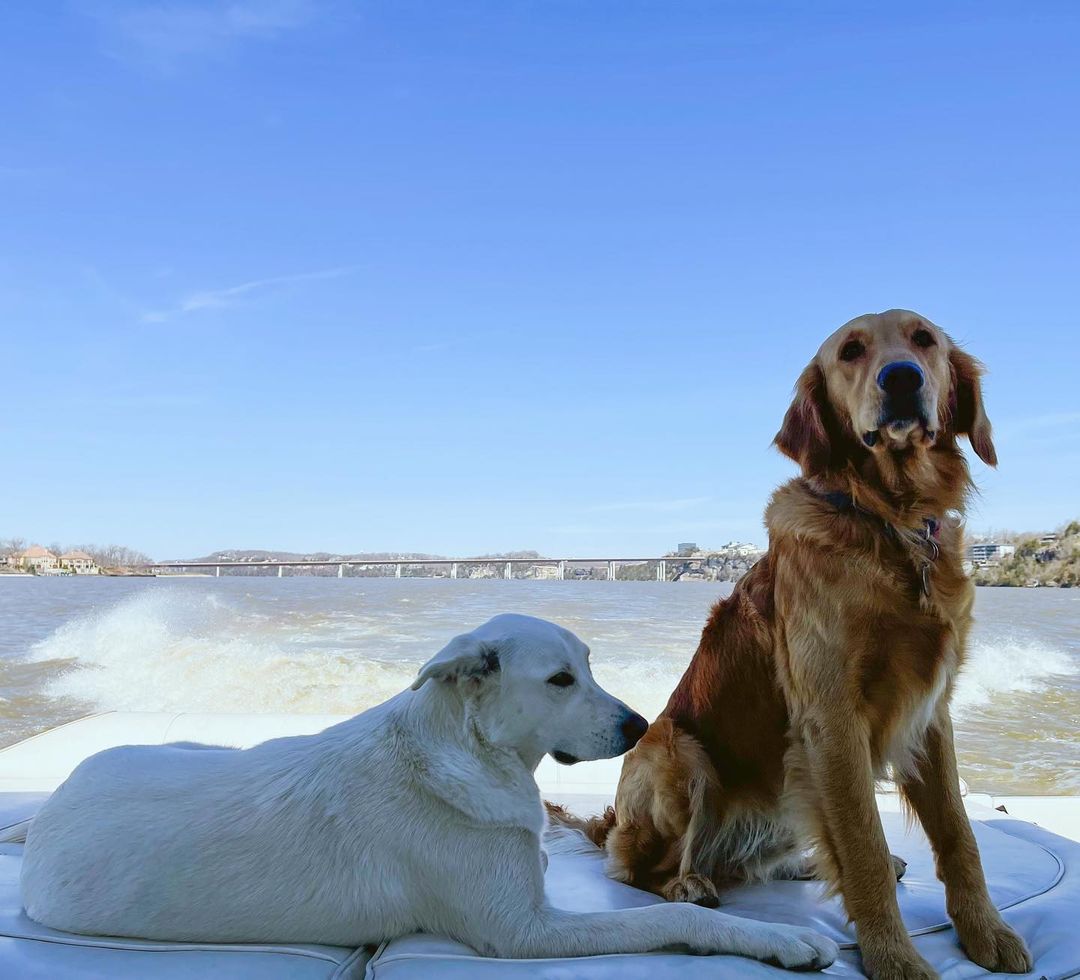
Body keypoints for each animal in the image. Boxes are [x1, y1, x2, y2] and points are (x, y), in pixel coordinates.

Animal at [23, 618, 833, 968]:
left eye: (590, 663)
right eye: (560, 680)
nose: (641, 727)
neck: (468, 751)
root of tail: (46, 811)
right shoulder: (525, 932)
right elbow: (663, 917)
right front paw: (778, 939)